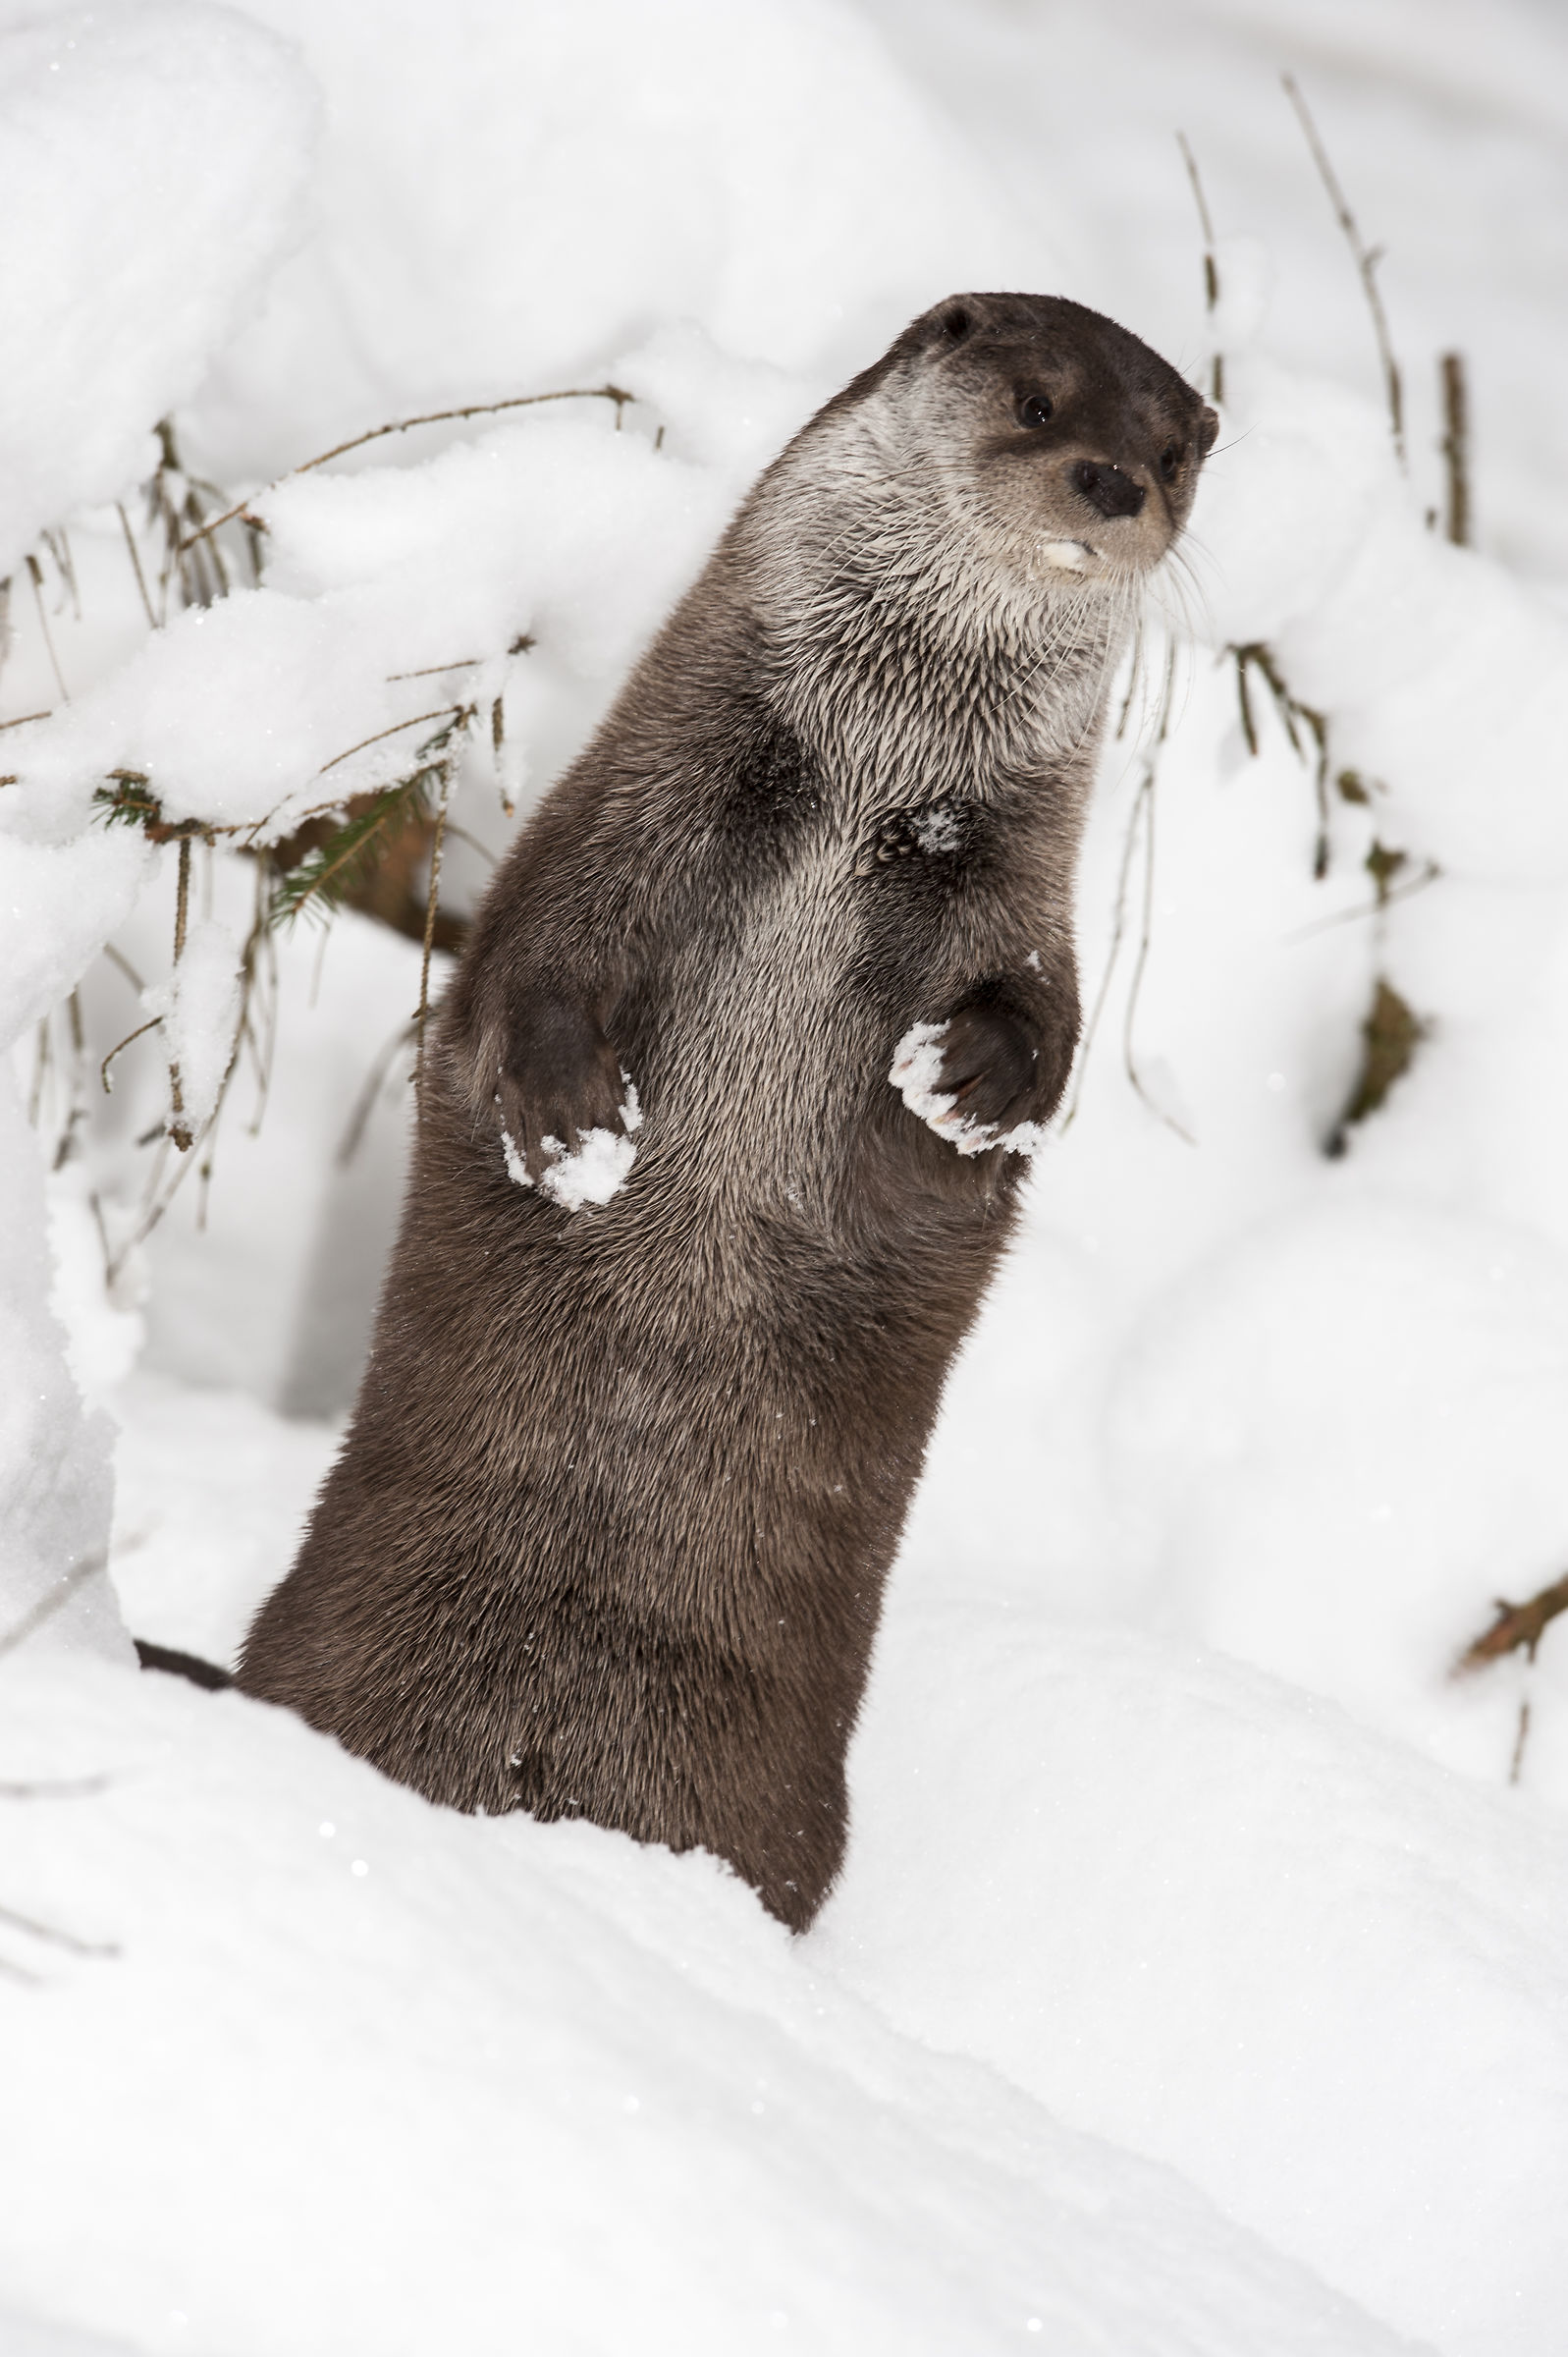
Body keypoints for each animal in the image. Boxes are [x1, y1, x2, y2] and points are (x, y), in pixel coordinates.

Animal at [238, 293, 1216, 1930]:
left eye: (1176, 451)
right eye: (1036, 400)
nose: (1111, 482)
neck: (863, 779)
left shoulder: (1022, 903)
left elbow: (1047, 1027)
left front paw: (975, 1078)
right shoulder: (614, 824)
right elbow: (528, 975)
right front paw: (574, 1130)